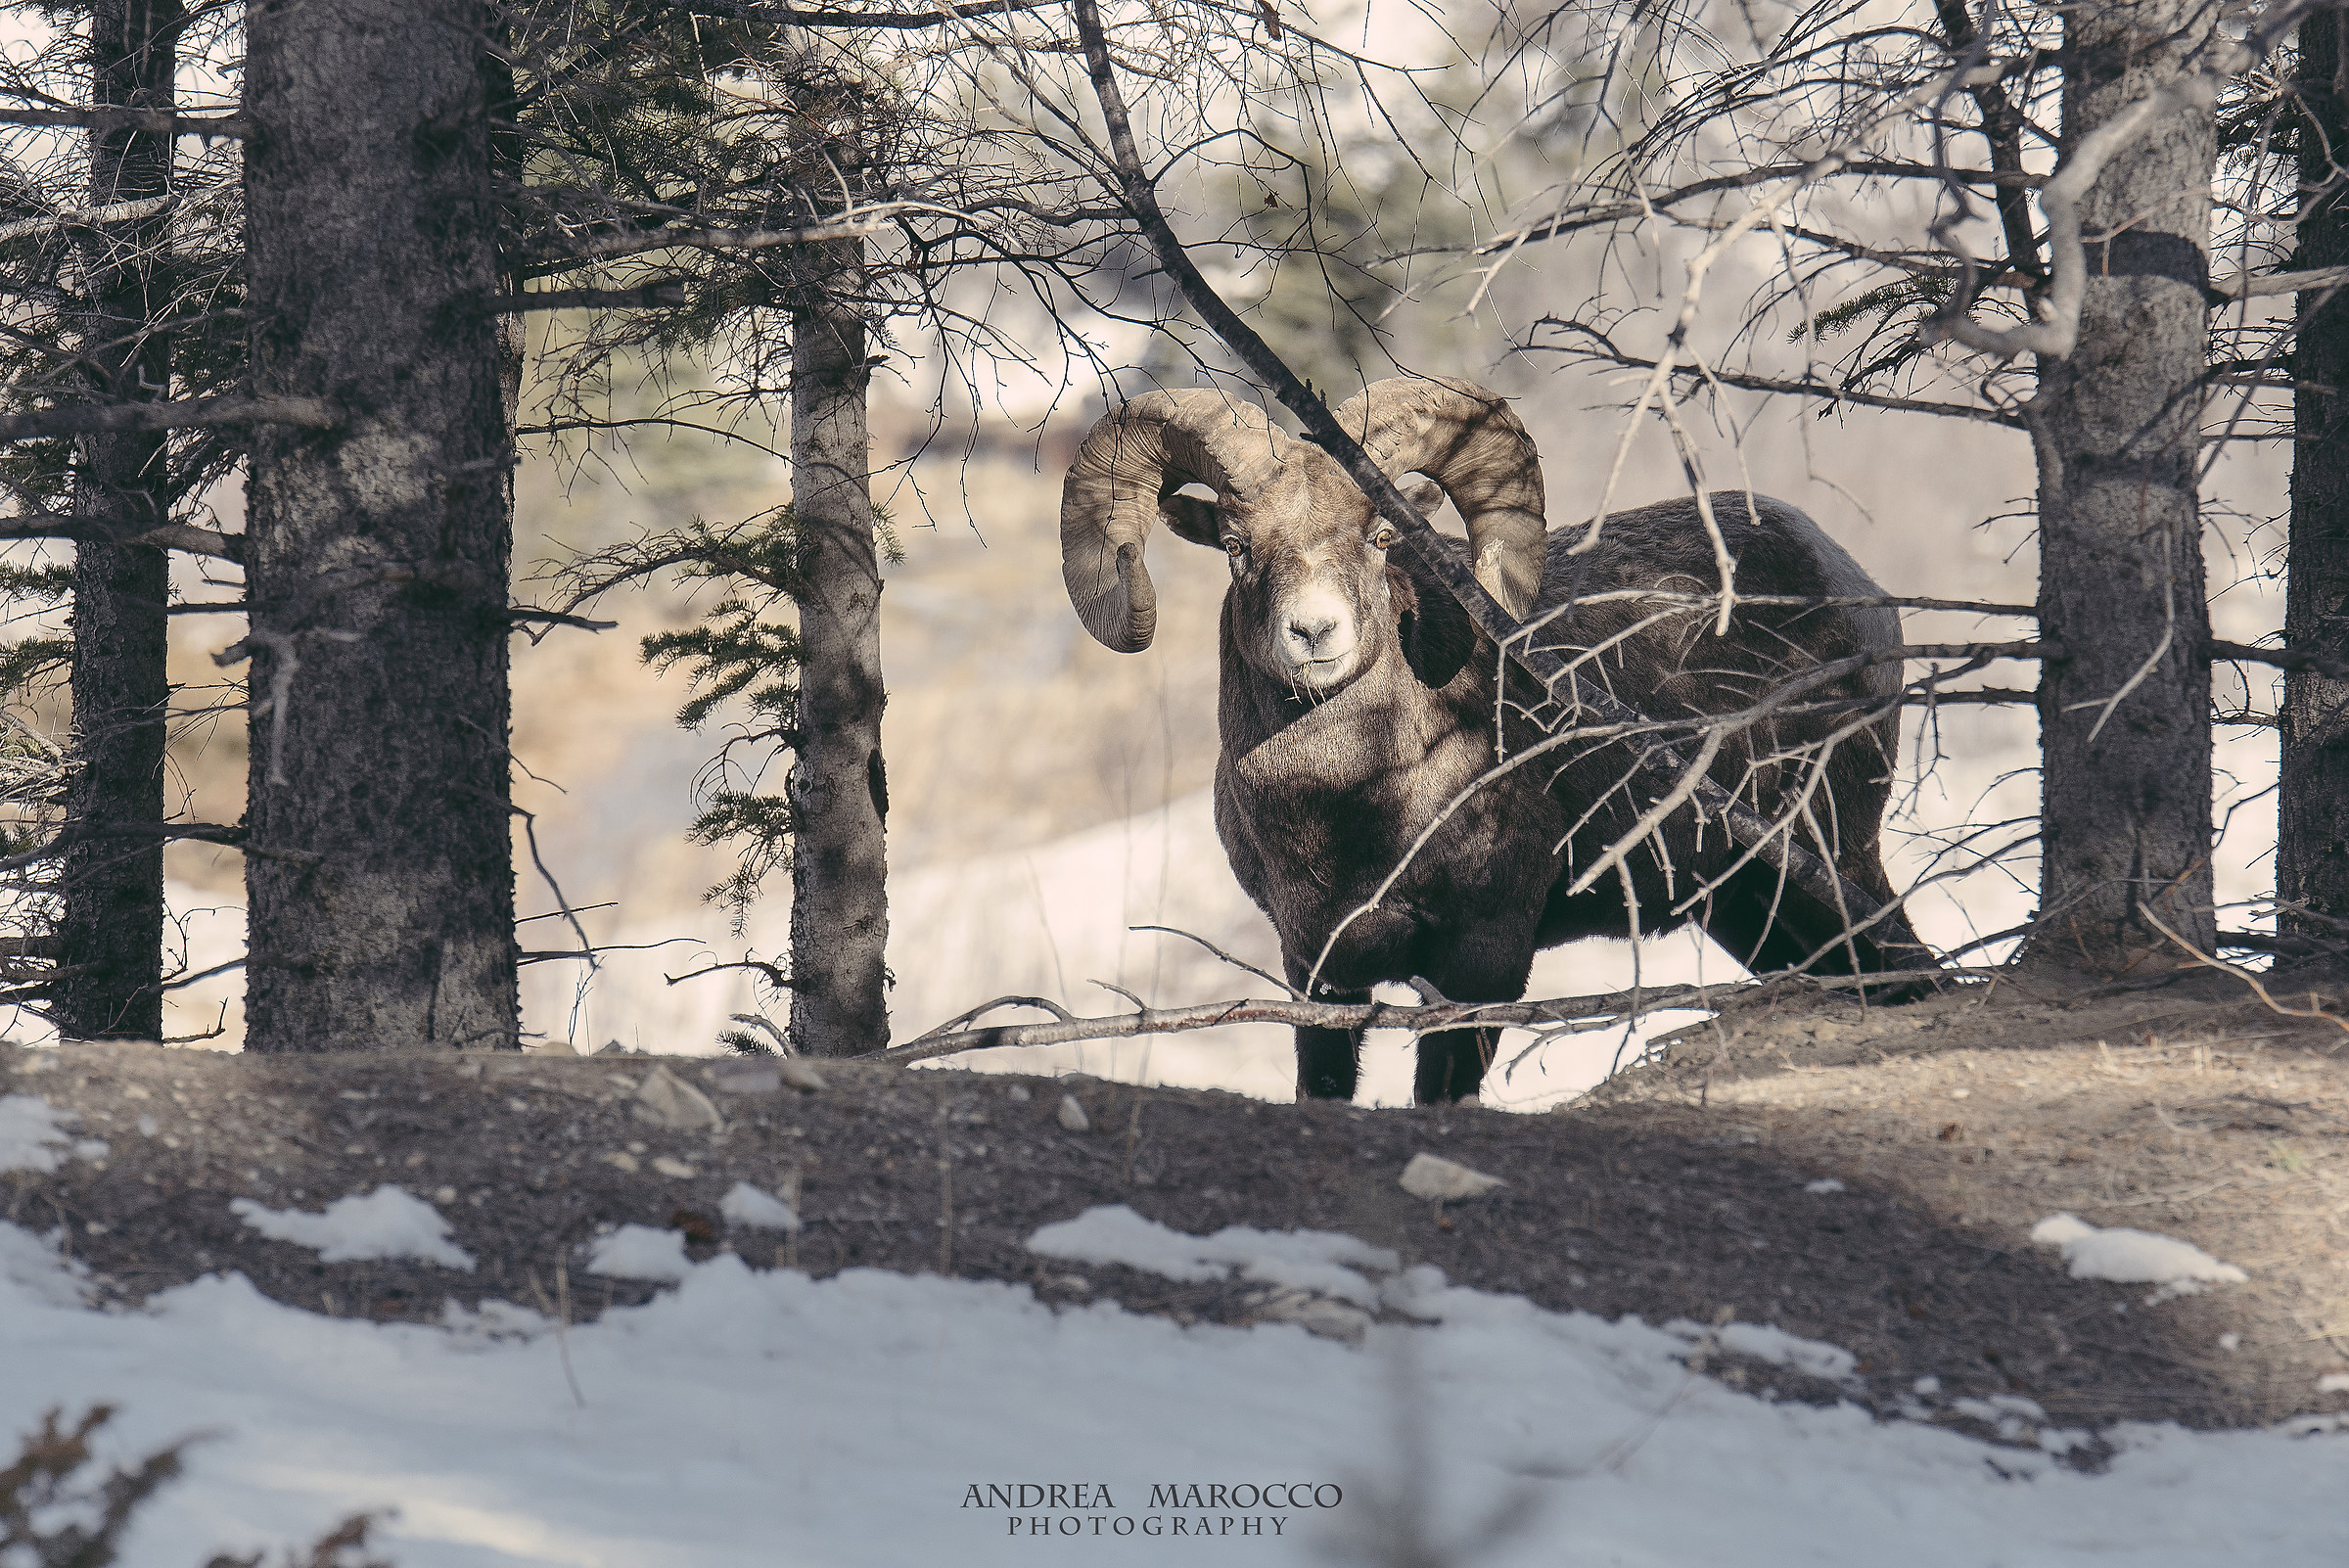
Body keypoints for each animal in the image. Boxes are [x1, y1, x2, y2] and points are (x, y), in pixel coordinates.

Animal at [1059, 376, 1911, 1105]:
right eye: (1236, 545)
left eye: (1379, 535)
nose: (1314, 632)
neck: (1351, 810)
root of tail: (1846, 579)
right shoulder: (1316, 969)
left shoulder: (1485, 958)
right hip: (1748, 900)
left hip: (1834, 851)